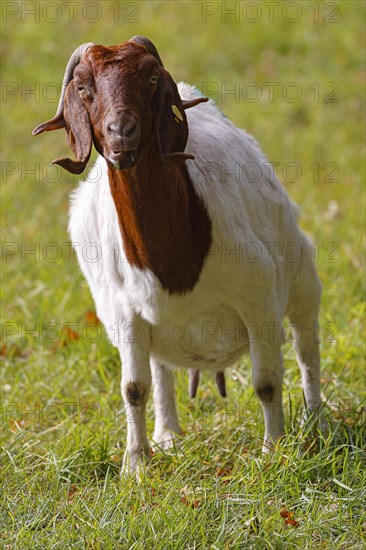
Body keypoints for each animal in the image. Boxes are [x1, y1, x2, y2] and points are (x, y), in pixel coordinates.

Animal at [33, 36, 324, 476]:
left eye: (152, 78)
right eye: (82, 87)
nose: (122, 133)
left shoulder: (258, 296)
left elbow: (267, 381)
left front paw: (273, 451)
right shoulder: (125, 312)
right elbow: (133, 388)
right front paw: (136, 464)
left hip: (301, 275)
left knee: (307, 345)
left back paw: (316, 421)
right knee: (159, 368)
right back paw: (167, 434)